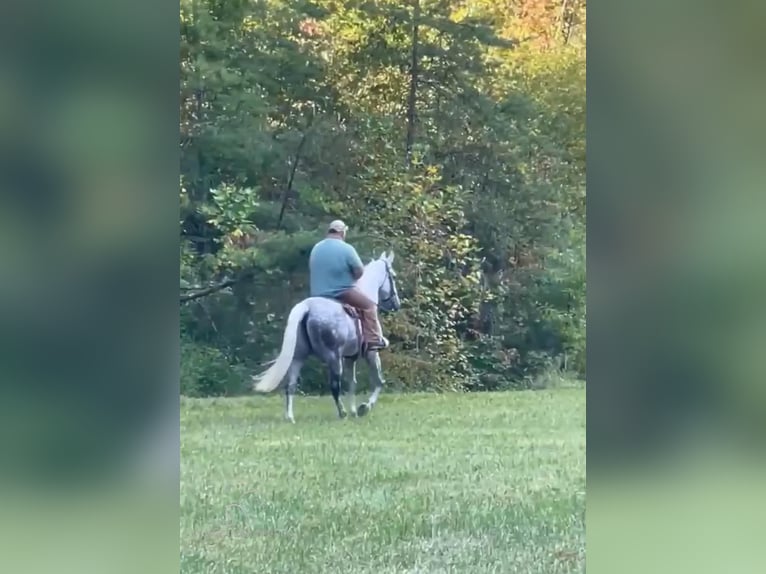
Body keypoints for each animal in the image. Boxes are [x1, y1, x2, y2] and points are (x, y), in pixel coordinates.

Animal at [255, 252, 404, 424]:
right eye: (393, 276)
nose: (396, 305)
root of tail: (307, 307)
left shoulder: (350, 357)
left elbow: (352, 384)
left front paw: (354, 410)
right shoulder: (371, 353)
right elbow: (379, 382)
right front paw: (364, 408)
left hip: (298, 356)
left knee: (290, 385)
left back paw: (290, 417)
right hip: (333, 357)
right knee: (334, 385)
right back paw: (342, 413)